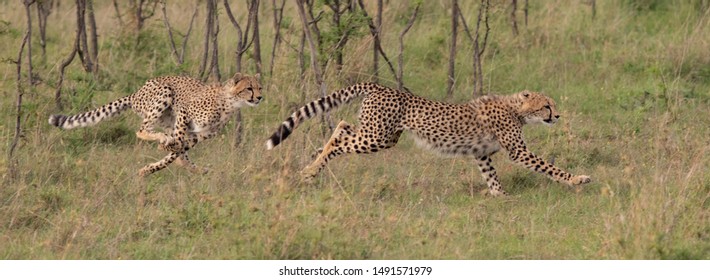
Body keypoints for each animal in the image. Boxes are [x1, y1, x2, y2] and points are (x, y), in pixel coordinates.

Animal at [48, 73, 262, 176]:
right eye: (249, 88)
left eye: (260, 87)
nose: (260, 97)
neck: (229, 103)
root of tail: (136, 93)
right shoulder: (184, 113)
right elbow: (176, 145)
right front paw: (161, 150)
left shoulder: (198, 135)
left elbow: (177, 151)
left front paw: (149, 168)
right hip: (164, 93)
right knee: (142, 130)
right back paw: (161, 139)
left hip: (168, 120)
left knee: (178, 151)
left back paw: (194, 167)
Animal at [264, 83, 592, 196]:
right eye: (546, 105)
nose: (557, 115)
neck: (515, 109)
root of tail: (379, 86)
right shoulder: (518, 152)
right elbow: (549, 167)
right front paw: (577, 179)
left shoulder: (481, 153)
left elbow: (491, 175)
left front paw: (500, 195)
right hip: (378, 137)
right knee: (340, 140)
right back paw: (311, 170)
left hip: (381, 135)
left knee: (342, 125)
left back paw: (315, 159)